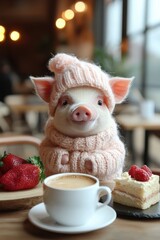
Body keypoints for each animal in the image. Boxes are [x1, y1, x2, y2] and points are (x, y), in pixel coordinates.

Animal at [30, 53, 132, 188]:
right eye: (64, 102)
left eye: (100, 102)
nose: (82, 108)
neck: (80, 139)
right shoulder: (47, 142)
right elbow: (46, 151)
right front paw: (66, 157)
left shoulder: (114, 144)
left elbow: (115, 153)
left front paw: (86, 160)